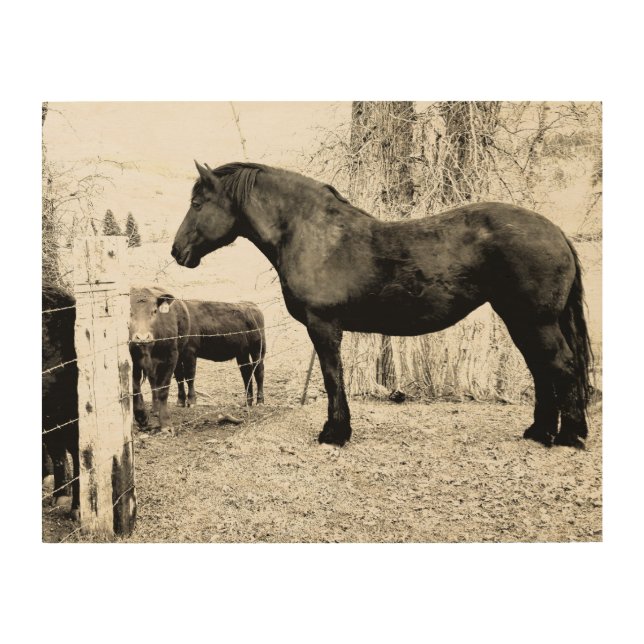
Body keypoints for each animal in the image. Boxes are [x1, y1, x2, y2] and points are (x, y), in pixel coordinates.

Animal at [172, 161, 592, 449]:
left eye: (197, 203)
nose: (178, 251)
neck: (315, 236)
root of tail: (554, 231)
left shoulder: (323, 326)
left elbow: (333, 377)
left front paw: (334, 433)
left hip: (535, 321)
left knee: (560, 366)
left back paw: (569, 436)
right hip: (521, 320)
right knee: (542, 370)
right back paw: (539, 432)